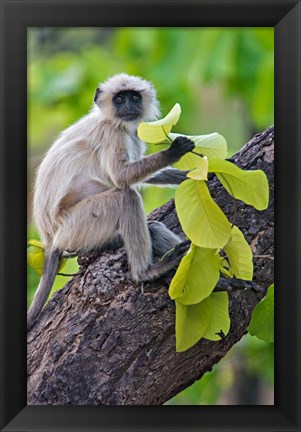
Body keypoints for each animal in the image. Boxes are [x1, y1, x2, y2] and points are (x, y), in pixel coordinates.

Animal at [27, 74, 195, 330]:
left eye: (134, 97)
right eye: (119, 99)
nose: (128, 106)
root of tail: (50, 239)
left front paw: (196, 174)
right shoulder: (112, 134)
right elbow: (121, 177)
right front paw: (174, 152)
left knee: (152, 227)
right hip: (78, 224)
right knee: (126, 197)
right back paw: (146, 273)